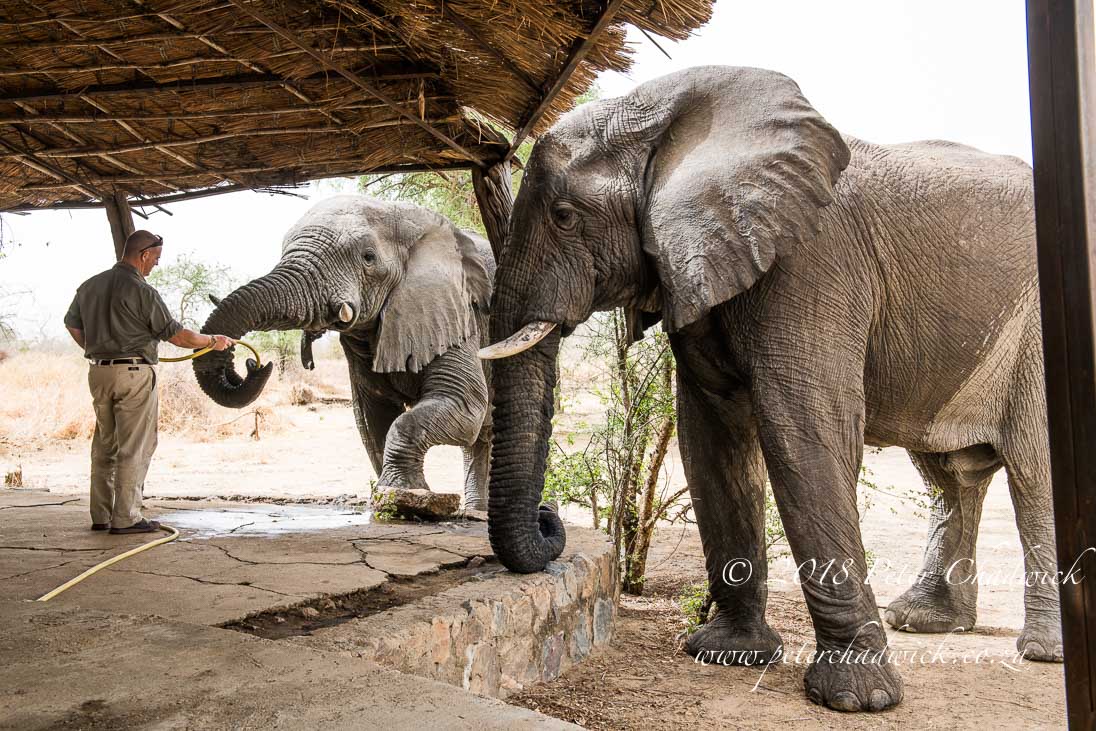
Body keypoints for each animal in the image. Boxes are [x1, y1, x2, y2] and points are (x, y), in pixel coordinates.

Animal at [194, 195, 495, 511]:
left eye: (368, 257)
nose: (254, 364)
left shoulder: (458, 312)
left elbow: (463, 404)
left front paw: (403, 496)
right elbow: (373, 414)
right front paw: (391, 494)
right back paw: (477, 511)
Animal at [479, 65, 1062, 712]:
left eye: (563, 215)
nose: (549, 520)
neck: (671, 120)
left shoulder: (812, 265)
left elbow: (803, 432)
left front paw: (855, 700)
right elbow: (713, 437)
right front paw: (726, 652)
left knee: (1032, 470)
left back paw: (1042, 652)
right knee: (949, 477)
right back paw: (924, 620)